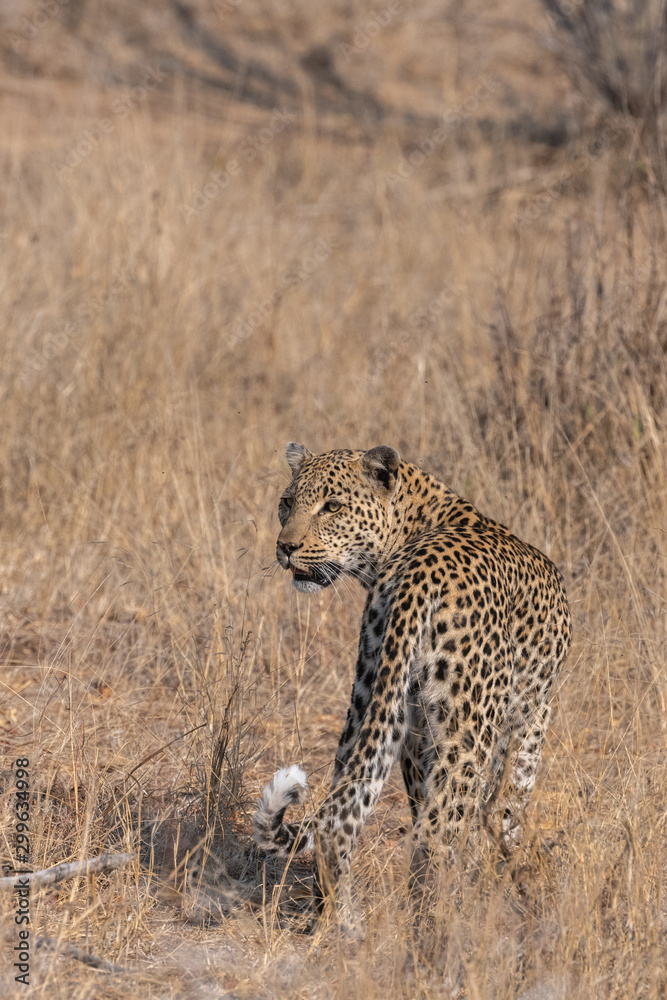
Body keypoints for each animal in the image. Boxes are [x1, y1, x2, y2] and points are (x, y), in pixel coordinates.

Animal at [254, 443, 572, 927]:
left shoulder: (413, 726)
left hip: (370, 695)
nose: (286, 547)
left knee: (341, 813)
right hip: (468, 729)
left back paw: (339, 923)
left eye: (332, 506)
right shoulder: (535, 709)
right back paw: (442, 929)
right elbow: (507, 806)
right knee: (438, 835)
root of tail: (420, 575)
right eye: (287, 503)